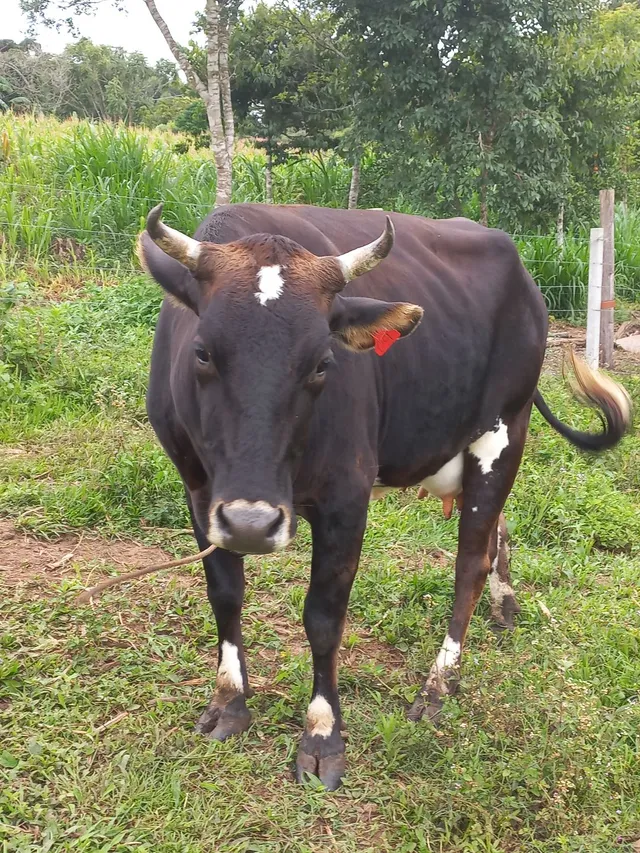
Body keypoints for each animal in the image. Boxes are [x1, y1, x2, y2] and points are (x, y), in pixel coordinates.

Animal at [138, 203, 631, 790]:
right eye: (203, 353)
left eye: (323, 363)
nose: (253, 525)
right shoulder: (200, 491)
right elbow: (225, 594)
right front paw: (230, 701)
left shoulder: (347, 497)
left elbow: (324, 617)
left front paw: (322, 734)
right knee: (497, 532)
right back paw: (504, 604)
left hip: (504, 430)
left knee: (470, 562)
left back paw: (439, 686)